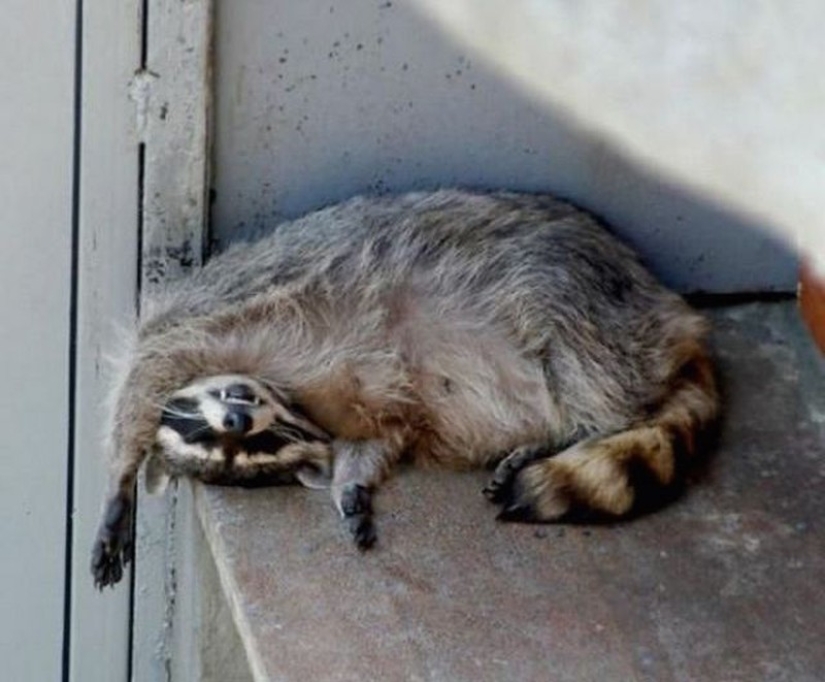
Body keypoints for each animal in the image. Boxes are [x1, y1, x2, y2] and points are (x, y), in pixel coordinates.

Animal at [91, 189, 718, 589]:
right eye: (256, 449)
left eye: (240, 424)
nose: (238, 422)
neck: (296, 404)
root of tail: (666, 311)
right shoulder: (366, 410)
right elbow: (383, 433)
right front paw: (351, 481)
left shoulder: (217, 304)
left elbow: (148, 366)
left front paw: (119, 481)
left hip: (581, 289)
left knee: (579, 355)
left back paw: (586, 425)